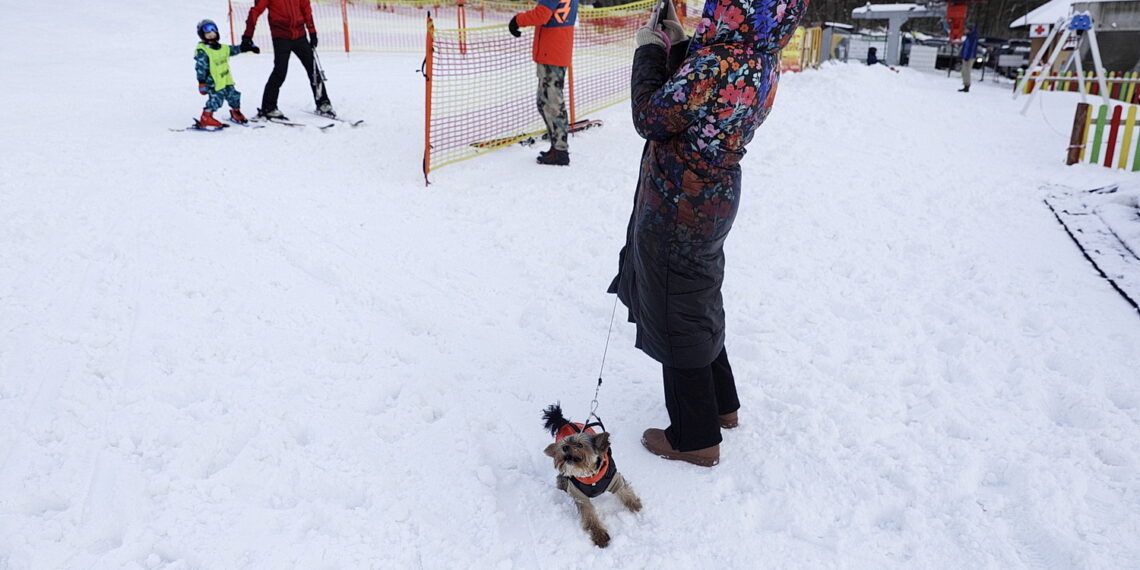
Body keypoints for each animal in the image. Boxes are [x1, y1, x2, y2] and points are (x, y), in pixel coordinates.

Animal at [542, 403, 642, 549]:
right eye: (563, 445)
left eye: (579, 444)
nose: (564, 447)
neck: (589, 474)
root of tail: (564, 422)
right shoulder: (579, 495)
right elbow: (590, 516)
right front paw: (600, 536)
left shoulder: (614, 480)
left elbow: (625, 491)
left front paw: (636, 506)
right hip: (564, 475)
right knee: (561, 479)